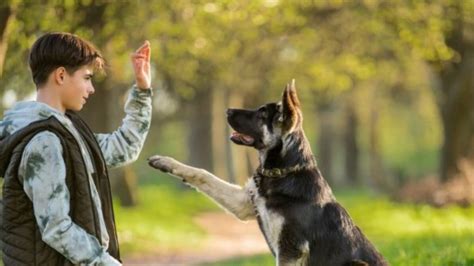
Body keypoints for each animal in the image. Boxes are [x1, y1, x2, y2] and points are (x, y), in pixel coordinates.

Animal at [148, 81, 386, 266]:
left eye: (262, 114)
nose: (227, 111)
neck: (282, 173)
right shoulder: (244, 203)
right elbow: (203, 174)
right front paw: (165, 162)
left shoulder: (291, 249)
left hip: (356, 263)